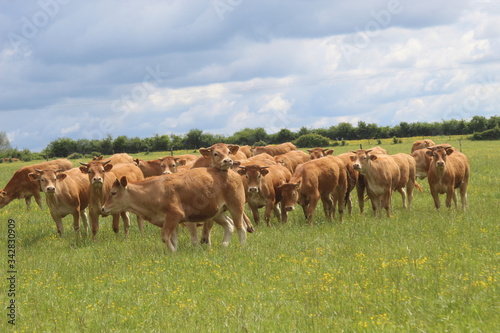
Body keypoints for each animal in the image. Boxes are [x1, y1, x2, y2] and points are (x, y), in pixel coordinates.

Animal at [101, 167, 248, 250]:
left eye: (113, 193)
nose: (102, 208)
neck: (155, 191)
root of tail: (233, 173)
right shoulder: (171, 221)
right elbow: (173, 238)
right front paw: (175, 251)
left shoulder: (174, 216)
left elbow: (165, 236)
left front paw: (172, 251)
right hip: (217, 212)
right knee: (229, 224)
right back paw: (224, 246)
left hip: (236, 206)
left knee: (241, 227)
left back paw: (241, 247)